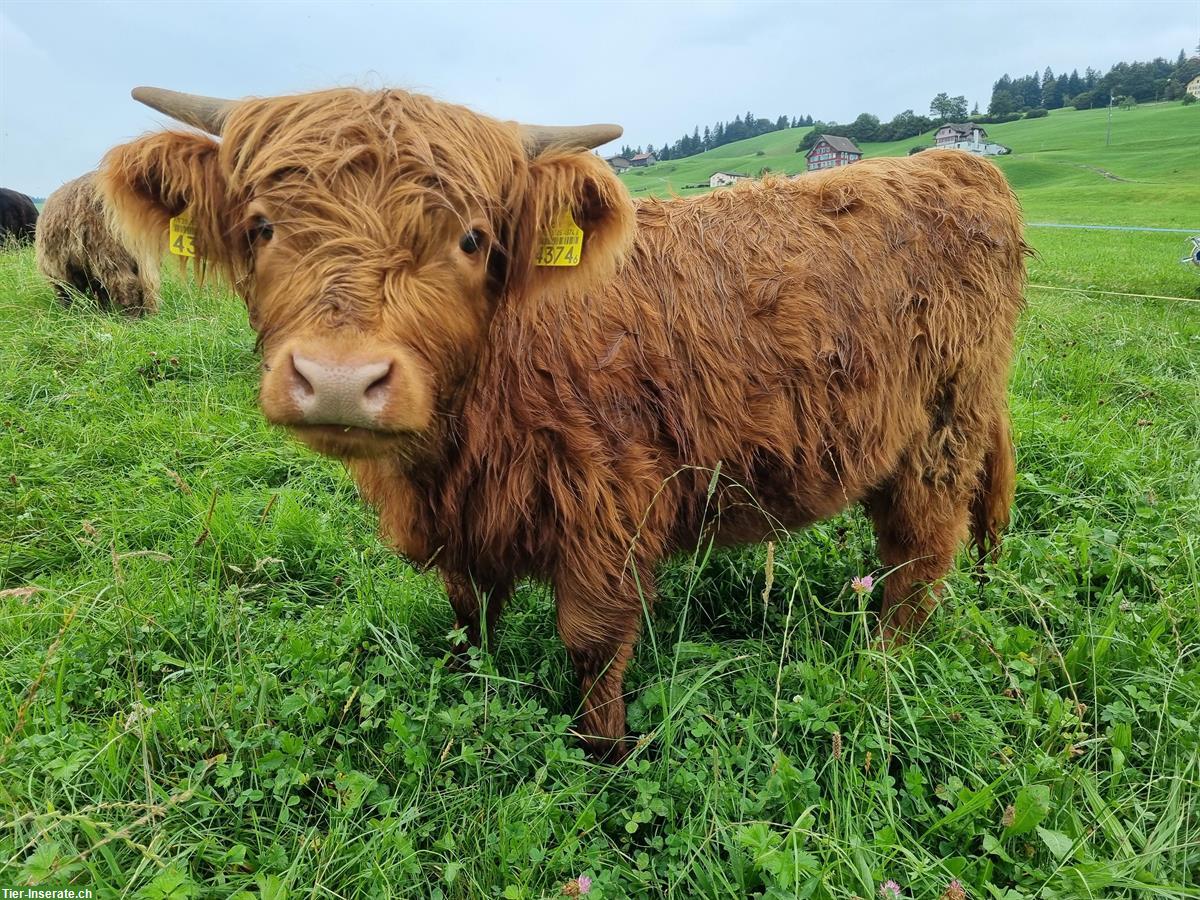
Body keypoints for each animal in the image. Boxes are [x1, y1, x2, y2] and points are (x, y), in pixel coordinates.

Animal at [37, 170, 160, 314]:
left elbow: (66, 293)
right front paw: (102, 311)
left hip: (106, 249)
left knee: (126, 285)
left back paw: (131, 316)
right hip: (142, 254)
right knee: (149, 287)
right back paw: (149, 315)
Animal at [98, 86, 1027, 763]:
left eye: (473, 238)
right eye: (261, 227)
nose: (337, 380)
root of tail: (954, 163)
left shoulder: (609, 508)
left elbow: (591, 644)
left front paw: (605, 752)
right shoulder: (466, 521)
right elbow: (468, 608)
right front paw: (472, 676)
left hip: (940, 427)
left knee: (919, 554)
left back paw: (882, 664)